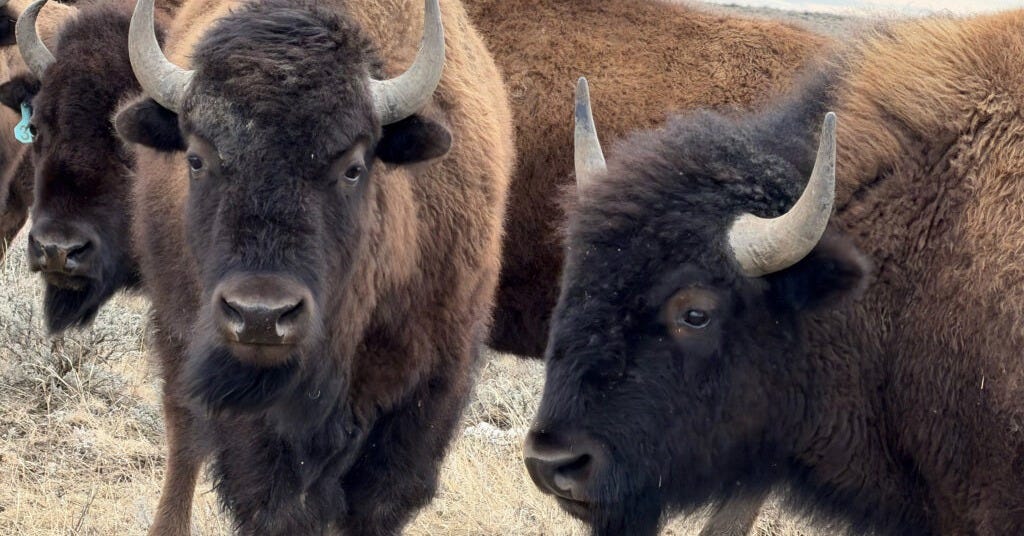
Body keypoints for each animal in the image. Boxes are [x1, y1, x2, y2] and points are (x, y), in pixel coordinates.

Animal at [115, 0, 512, 533]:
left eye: (353, 167)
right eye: (196, 159)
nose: (261, 316)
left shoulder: (429, 388)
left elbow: (376, 501)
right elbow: (274, 501)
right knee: (185, 441)